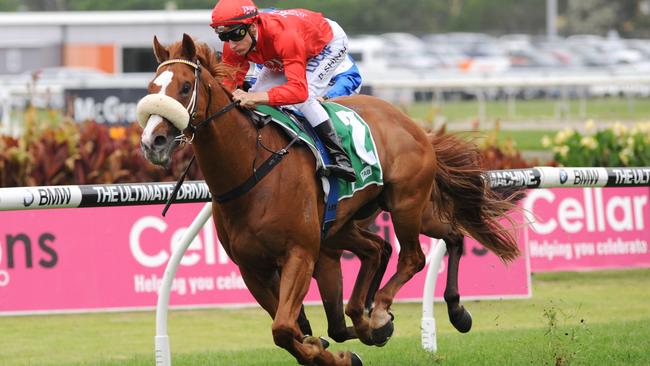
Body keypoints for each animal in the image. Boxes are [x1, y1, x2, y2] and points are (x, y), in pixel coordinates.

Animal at [139, 34, 520, 366]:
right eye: (151, 88)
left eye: (185, 87)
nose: (152, 141)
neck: (250, 167)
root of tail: (410, 123)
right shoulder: (252, 269)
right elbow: (295, 329)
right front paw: (331, 350)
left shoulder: (300, 253)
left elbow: (284, 328)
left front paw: (334, 351)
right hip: (365, 220)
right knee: (421, 240)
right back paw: (439, 312)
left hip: (405, 203)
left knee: (413, 256)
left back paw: (381, 313)